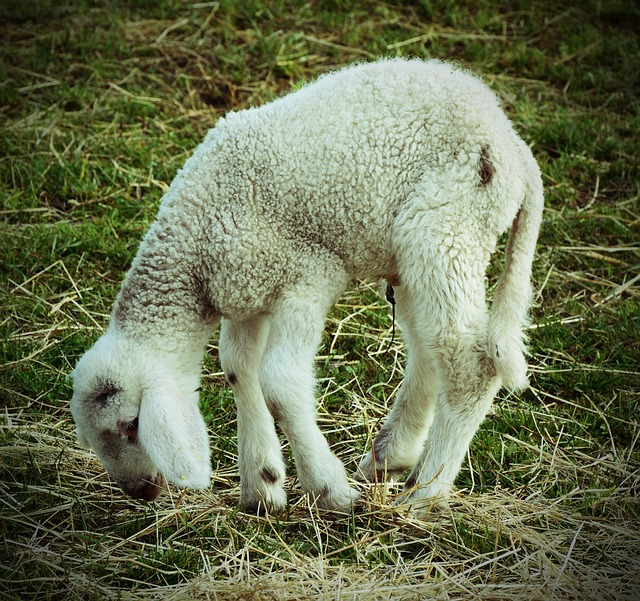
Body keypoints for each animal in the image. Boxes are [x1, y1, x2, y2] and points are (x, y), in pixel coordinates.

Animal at [70, 58, 544, 512]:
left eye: (132, 425)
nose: (140, 491)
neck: (197, 251)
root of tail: (513, 145)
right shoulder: (248, 292)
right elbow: (237, 367)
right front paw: (262, 487)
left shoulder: (307, 276)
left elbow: (279, 382)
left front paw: (329, 490)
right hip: (412, 255)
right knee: (430, 350)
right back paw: (390, 456)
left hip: (447, 230)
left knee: (470, 366)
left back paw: (423, 495)